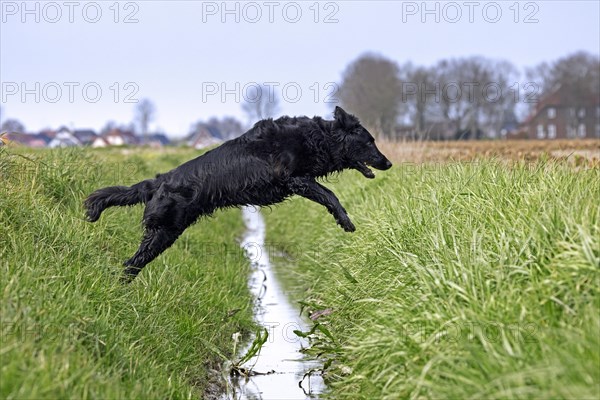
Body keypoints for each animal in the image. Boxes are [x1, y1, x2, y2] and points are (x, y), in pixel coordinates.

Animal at [85, 107, 394, 282]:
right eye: (370, 141)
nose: (389, 163)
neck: (317, 137)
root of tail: (158, 182)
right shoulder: (294, 179)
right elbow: (329, 194)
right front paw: (345, 221)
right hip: (163, 232)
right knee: (131, 264)